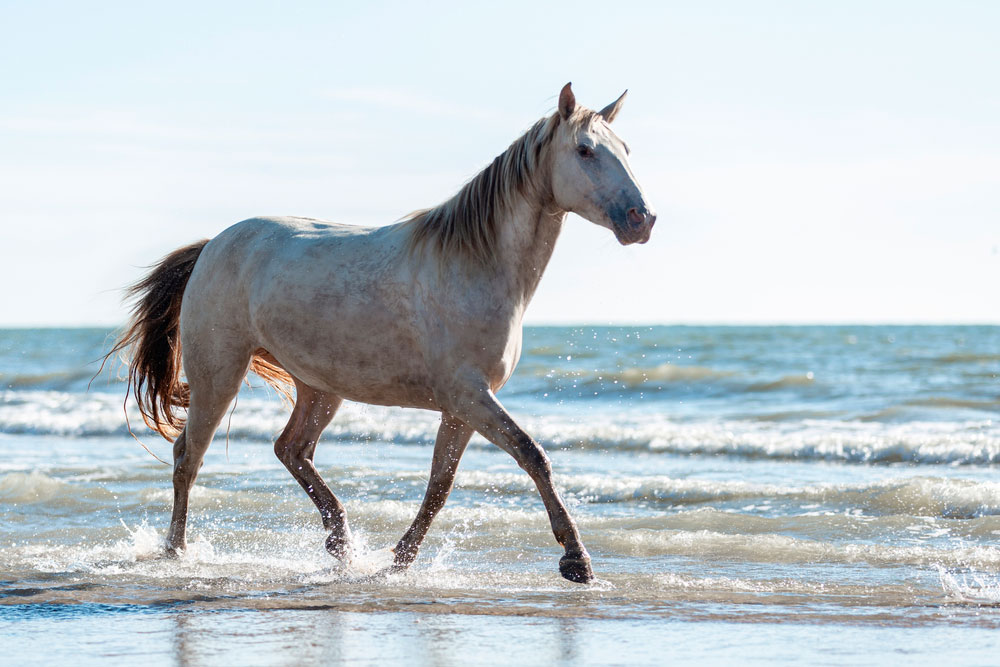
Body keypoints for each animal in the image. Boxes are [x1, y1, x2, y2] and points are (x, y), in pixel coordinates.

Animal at [109, 85, 656, 584]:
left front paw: (399, 560)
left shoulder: (461, 407)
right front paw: (576, 560)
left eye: (626, 149)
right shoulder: (470, 396)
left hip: (319, 388)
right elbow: (533, 456)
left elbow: (440, 486)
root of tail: (212, 246)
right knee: (189, 456)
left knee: (291, 450)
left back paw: (341, 546)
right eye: (585, 150)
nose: (642, 219)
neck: (476, 265)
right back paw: (177, 553)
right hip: (219, 374)